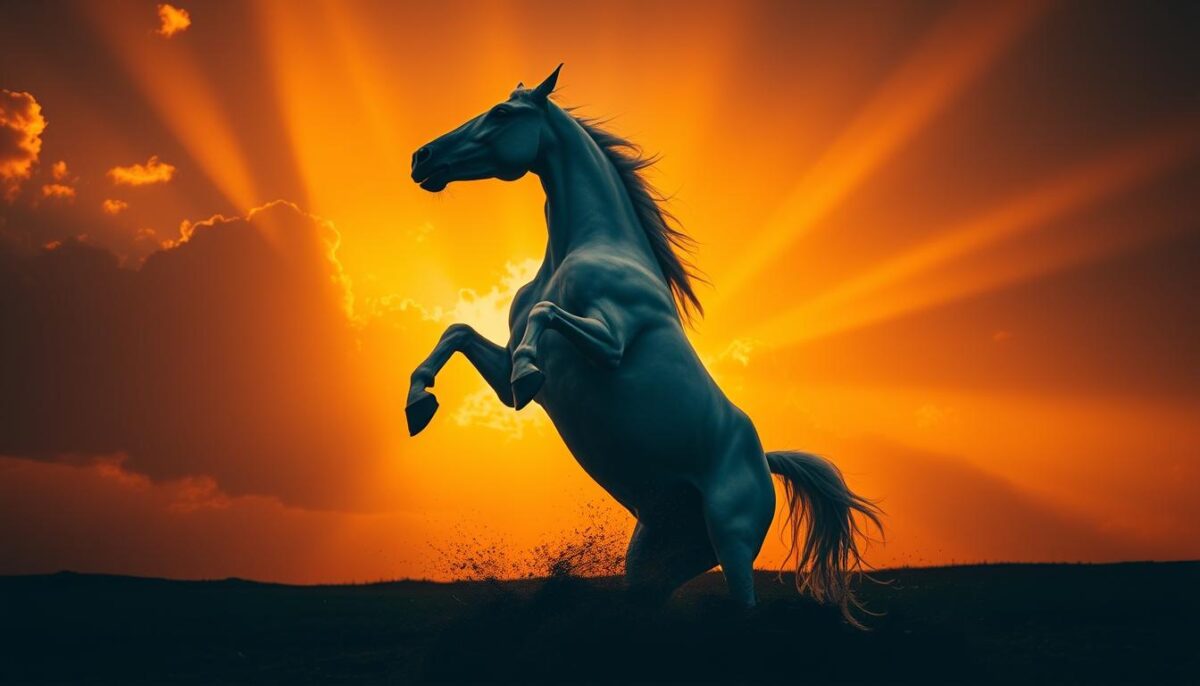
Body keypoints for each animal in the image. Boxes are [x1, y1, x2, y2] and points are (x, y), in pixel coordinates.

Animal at [406, 65, 882, 621]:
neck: (588, 246)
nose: (422, 158)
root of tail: (763, 461)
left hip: (732, 538)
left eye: (502, 113)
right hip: (655, 562)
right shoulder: (502, 381)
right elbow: (456, 332)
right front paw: (418, 404)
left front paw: (527, 370)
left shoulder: (611, 341)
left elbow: (544, 319)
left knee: (744, 601)